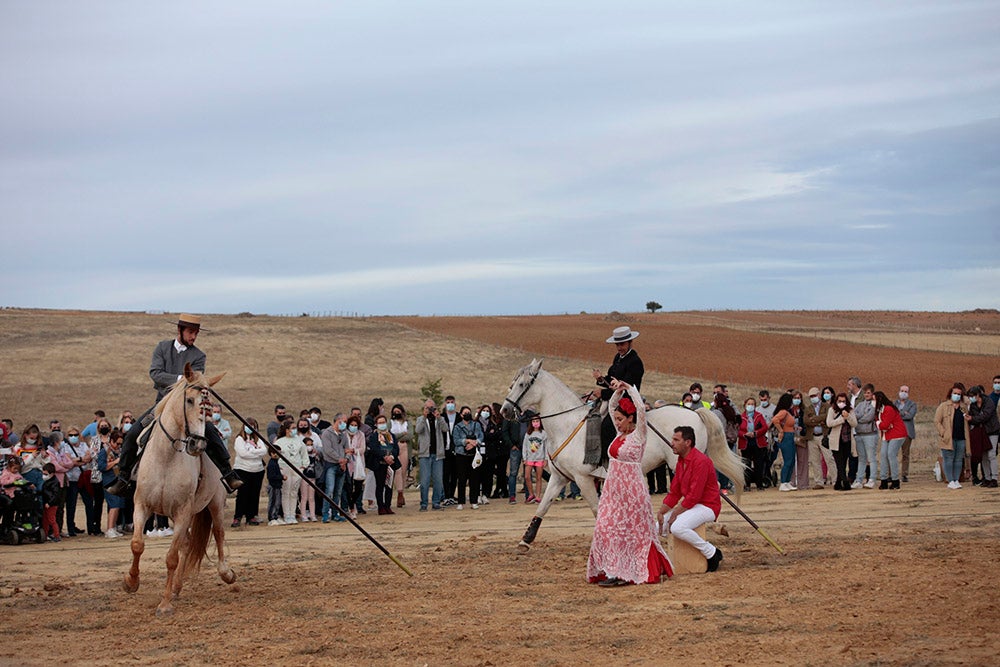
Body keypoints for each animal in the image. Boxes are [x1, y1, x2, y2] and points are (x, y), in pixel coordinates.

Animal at [122, 366, 235, 616]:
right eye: (190, 400)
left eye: (209, 406)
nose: (198, 445)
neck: (166, 456)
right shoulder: (141, 505)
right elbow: (137, 545)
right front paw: (131, 582)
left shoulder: (183, 511)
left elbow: (171, 557)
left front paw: (164, 605)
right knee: (188, 542)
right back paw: (175, 588)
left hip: (214, 503)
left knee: (218, 534)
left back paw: (225, 573)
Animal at [500, 362, 744, 552]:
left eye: (521, 384)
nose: (504, 411)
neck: (567, 423)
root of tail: (695, 412)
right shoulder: (560, 478)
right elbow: (543, 507)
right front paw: (525, 539)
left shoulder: (583, 479)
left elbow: (597, 509)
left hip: (680, 463)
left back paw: (712, 526)